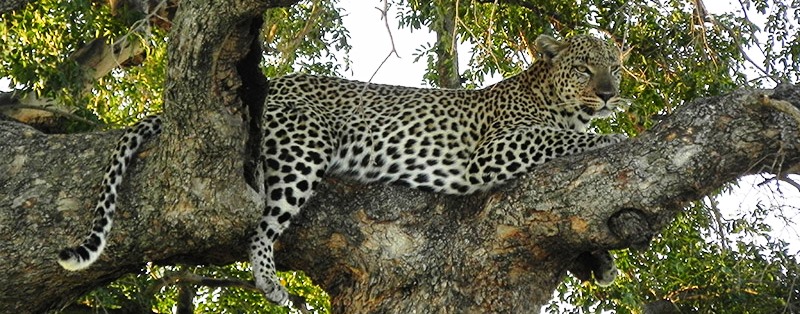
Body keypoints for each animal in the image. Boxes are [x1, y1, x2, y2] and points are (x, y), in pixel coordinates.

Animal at [59, 33, 628, 304]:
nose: (609, 94)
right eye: (585, 68)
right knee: (260, 225)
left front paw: (599, 260)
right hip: (304, 145)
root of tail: (273, 84)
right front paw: (616, 135)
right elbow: (564, 138)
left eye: (616, 67)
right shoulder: (492, 151)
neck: (553, 96)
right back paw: (270, 282)